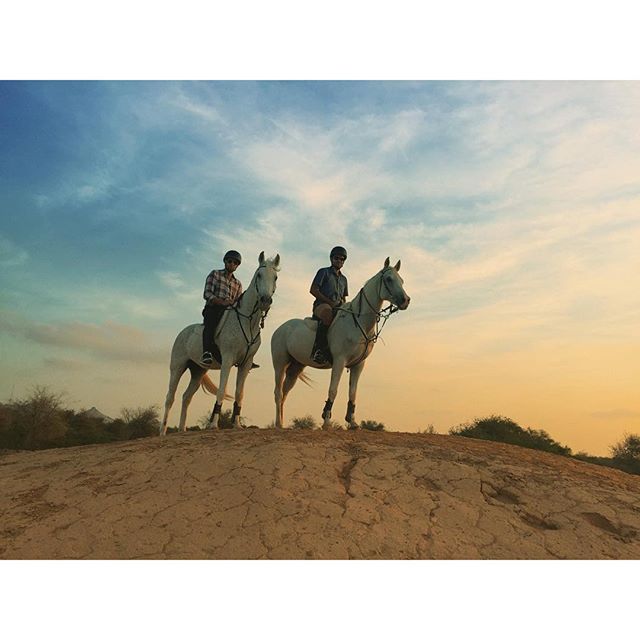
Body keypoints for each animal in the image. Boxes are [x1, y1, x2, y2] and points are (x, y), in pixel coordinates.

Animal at [160, 251, 280, 436]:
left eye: (275, 277)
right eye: (259, 275)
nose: (265, 301)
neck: (247, 321)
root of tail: (184, 332)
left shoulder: (245, 364)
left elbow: (239, 393)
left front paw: (237, 424)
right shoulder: (227, 360)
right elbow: (222, 390)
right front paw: (213, 424)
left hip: (198, 371)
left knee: (186, 397)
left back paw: (182, 429)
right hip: (178, 367)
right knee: (170, 398)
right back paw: (163, 432)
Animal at [270, 256, 410, 430]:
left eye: (401, 280)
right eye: (389, 279)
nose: (405, 301)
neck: (358, 322)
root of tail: (280, 329)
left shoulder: (358, 365)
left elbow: (353, 393)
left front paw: (353, 422)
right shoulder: (339, 361)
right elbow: (333, 390)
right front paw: (326, 422)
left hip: (295, 368)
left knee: (285, 393)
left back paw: (281, 423)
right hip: (280, 364)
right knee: (278, 393)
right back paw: (277, 423)